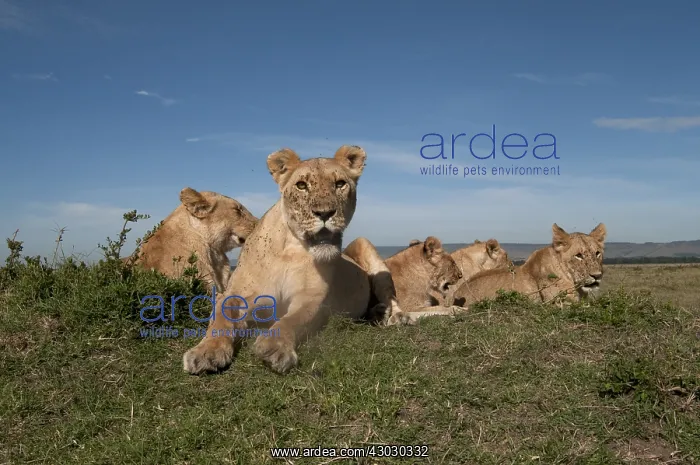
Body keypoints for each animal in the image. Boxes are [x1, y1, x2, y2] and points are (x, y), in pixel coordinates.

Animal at [182, 145, 409, 376]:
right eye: (301, 185)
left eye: (339, 184)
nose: (325, 213)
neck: (288, 250)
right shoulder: (236, 294)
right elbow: (221, 320)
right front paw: (206, 352)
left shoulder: (312, 299)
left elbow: (291, 321)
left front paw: (274, 348)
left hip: (366, 247)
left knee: (389, 294)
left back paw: (395, 316)